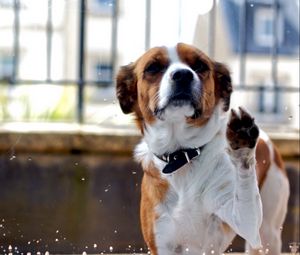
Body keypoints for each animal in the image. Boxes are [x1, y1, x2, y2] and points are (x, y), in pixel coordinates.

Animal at [116, 42, 290, 254]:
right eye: (153, 67)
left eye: (199, 65)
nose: (183, 74)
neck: (183, 156)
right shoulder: (161, 239)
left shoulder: (244, 220)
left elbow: (245, 194)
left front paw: (242, 143)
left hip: (267, 233)